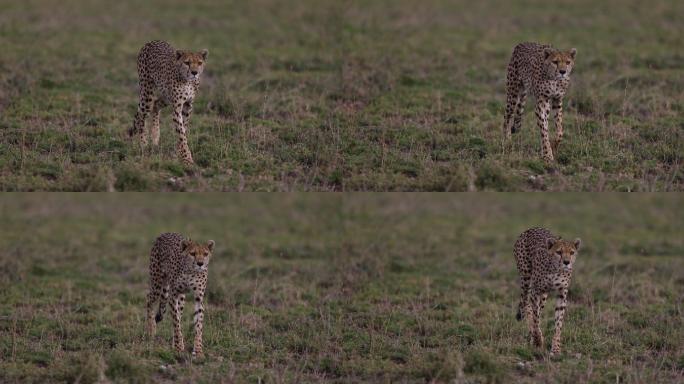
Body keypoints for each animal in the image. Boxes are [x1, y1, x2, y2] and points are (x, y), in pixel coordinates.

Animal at [512, 226, 584, 356]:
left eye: (572, 252)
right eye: (559, 252)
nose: (567, 262)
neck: (557, 270)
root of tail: (533, 228)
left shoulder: (561, 293)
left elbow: (558, 323)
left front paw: (556, 348)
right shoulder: (535, 291)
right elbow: (536, 319)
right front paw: (538, 340)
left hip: (544, 296)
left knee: (534, 308)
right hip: (526, 281)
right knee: (526, 306)